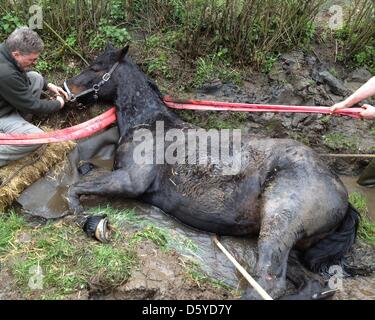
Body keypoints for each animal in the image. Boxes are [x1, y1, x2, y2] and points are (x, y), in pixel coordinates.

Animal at [65, 45, 362, 300]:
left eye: (95, 67)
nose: (67, 88)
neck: (149, 124)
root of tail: (342, 195)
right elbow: (85, 171)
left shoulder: (129, 181)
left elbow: (76, 186)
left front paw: (76, 209)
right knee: (312, 285)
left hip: (279, 224)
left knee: (269, 283)